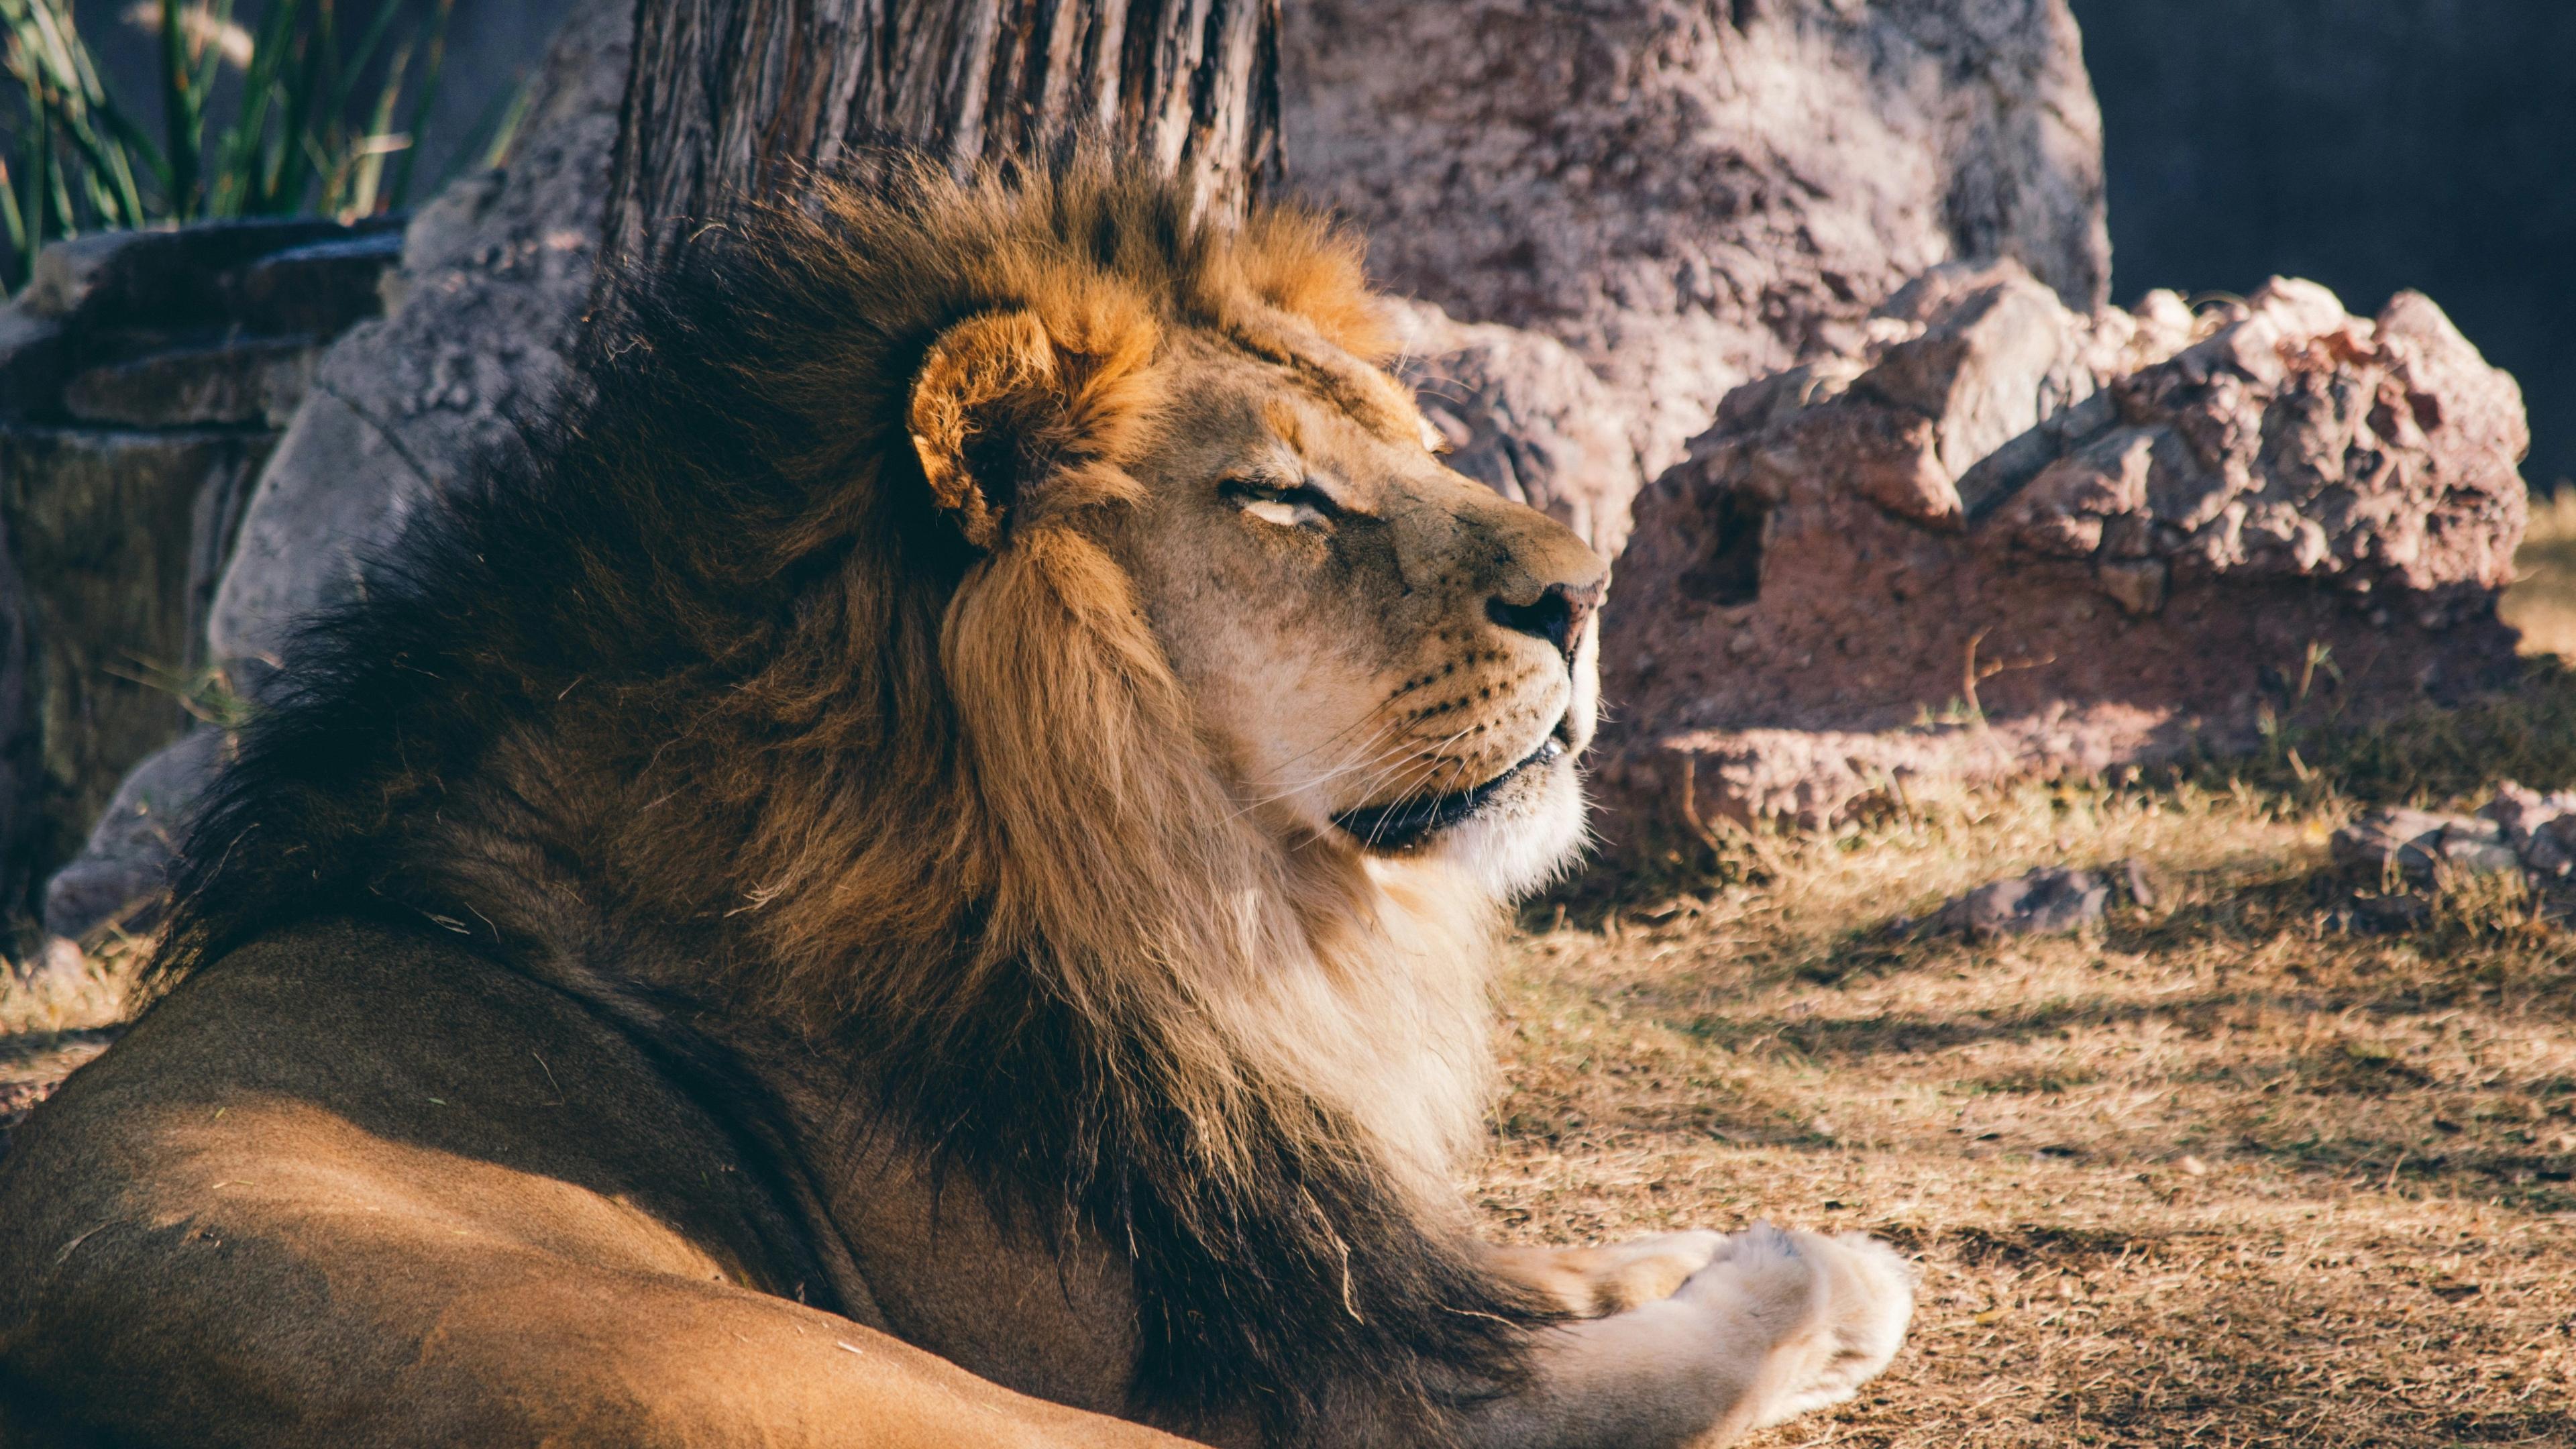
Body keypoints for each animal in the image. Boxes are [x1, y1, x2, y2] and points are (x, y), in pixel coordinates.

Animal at [0, 156, 1912, 1447]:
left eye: (1409, 442)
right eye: (1285, 499)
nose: (1590, 591)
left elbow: (1496, 1269)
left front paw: (1678, 1240)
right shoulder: (1239, 1369)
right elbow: (1580, 1367)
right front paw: (1808, 1277)